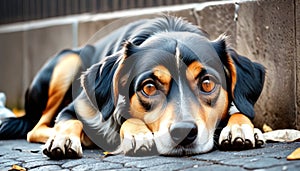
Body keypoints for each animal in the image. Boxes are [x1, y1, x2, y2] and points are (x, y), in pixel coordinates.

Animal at [0, 16, 266, 159]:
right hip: (68, 60)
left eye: (207, 83)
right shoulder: (74, 108)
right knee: (36, 127)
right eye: (148, 88)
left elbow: (239, 111)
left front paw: (241, 128)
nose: (183, 132)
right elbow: (69, 122)